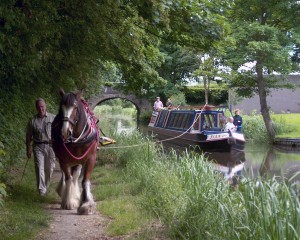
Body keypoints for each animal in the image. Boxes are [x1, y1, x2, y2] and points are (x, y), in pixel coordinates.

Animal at [51, 88, 98, 216]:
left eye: (75, 107)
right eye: (61, 107)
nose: (65, 131)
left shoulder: (90, 159)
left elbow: (85, 180)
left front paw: (86, 204)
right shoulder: (63, 159)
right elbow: (68, 177)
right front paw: (69, 201)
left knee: (76, 176)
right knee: (68, 176)